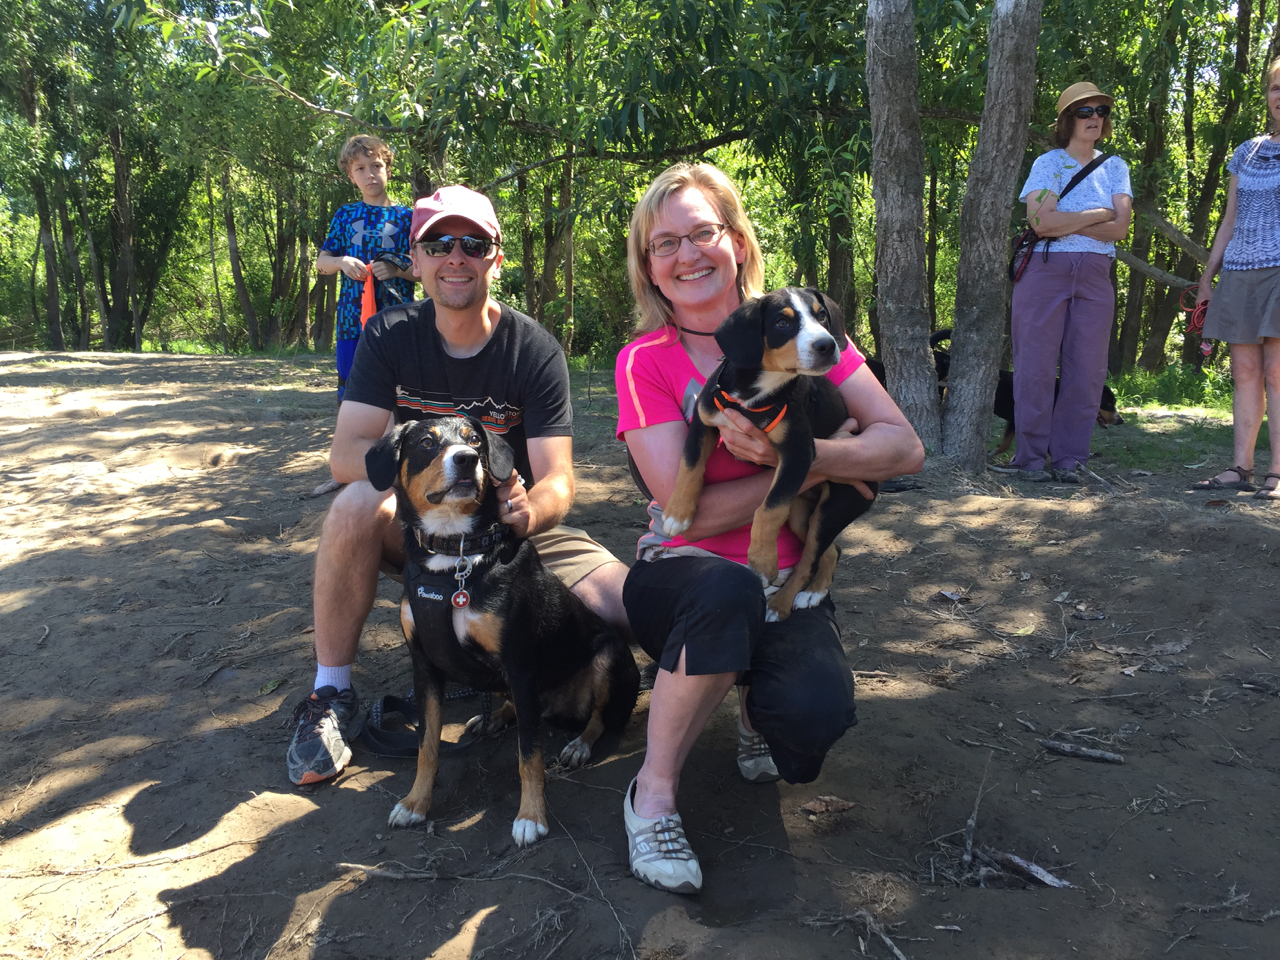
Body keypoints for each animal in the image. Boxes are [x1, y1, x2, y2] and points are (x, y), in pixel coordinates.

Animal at [365, 417, 640, 846]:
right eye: (426, 442)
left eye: (475, 440)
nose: (466, 459)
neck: (455, 555)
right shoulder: (425, 667)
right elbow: (427, 746)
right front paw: (415, 803)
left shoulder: (519, 664)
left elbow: (529, 755)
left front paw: (531, 816)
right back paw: (492, 717)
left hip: (607, 653)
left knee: (598, 716)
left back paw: (578, 745)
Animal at [661, 287, 877, 620]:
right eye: (781, 323)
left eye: (821, 315)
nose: (827, 345)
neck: (754, 394)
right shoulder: (703, 422)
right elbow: (690, 465)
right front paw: (677, 514)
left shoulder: (798, 452)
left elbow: (769, 508)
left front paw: (762, 563)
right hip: (802, 512)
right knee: (829, 551)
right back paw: (813, 593)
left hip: (835, 507)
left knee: (809, 560)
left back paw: (783, 603)